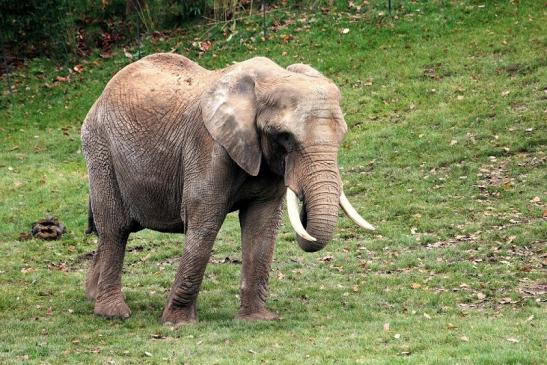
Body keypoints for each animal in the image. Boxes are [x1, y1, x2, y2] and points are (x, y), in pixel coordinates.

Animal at [81, 53, 374, 324]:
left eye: (342, 135)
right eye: (284, 136)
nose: (304, 211)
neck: (268, 81)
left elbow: (262, 225)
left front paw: (257, 320)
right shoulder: (207, 145)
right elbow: (204, 222)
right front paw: (177, 323)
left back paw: (93, 296)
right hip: (100, 150)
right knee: (116, 228)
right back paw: (113, 313)